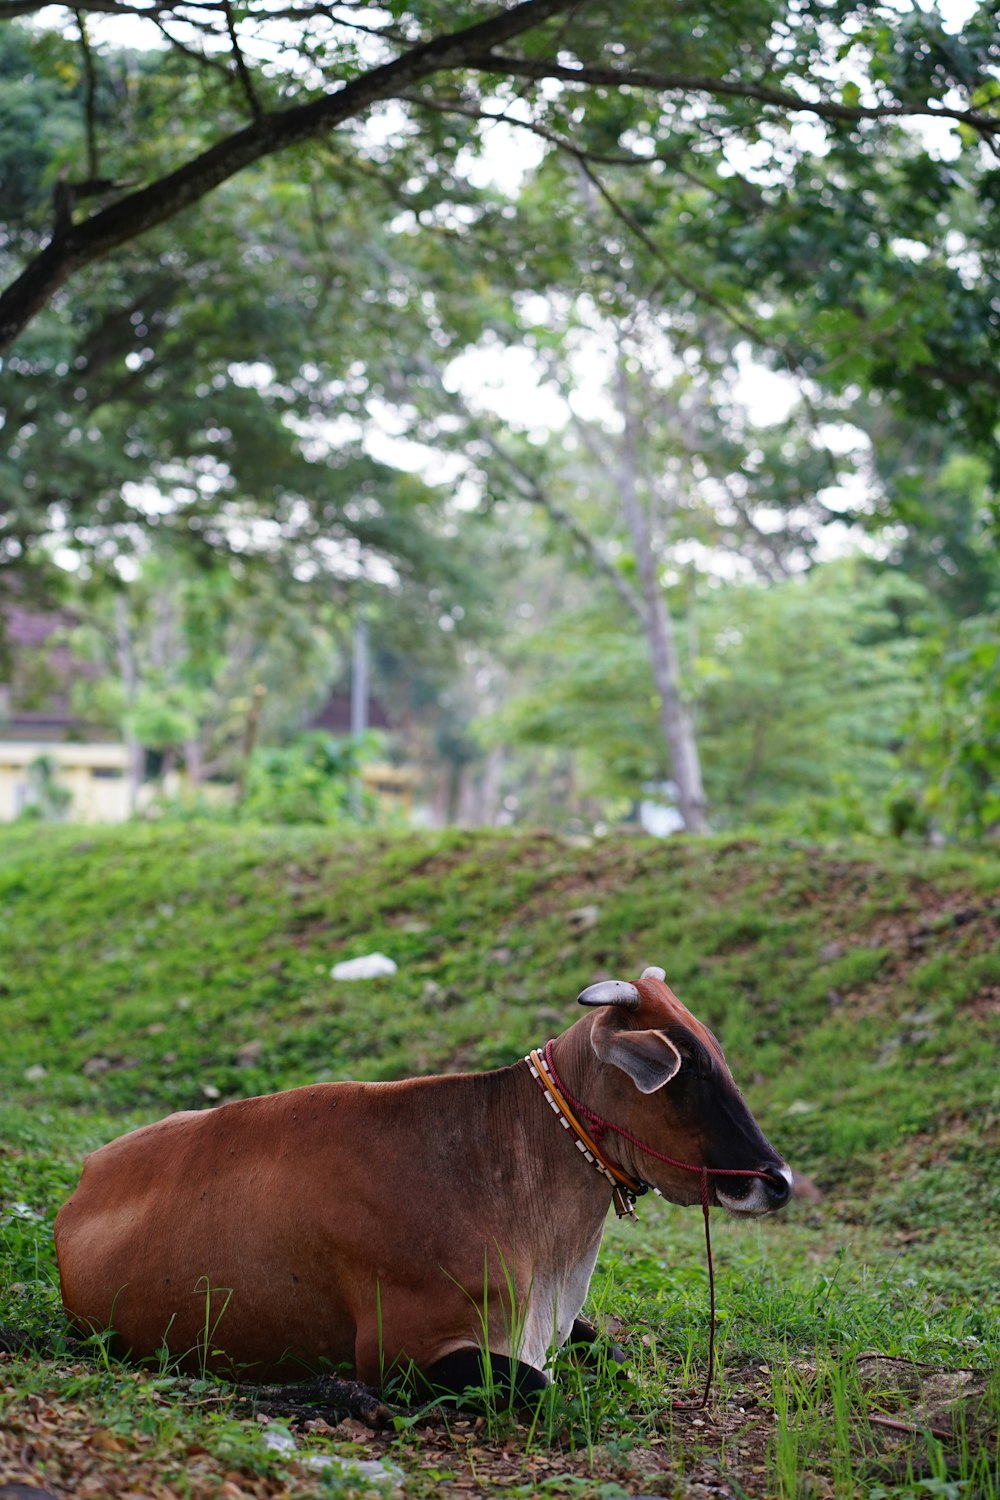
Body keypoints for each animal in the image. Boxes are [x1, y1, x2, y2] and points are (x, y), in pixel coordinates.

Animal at [54, 966, 791, 1398]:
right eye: (687, 1065)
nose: (777, 1179)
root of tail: (88, 1170)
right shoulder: (404, 1351)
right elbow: (542, 1387)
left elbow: (607, 1349)